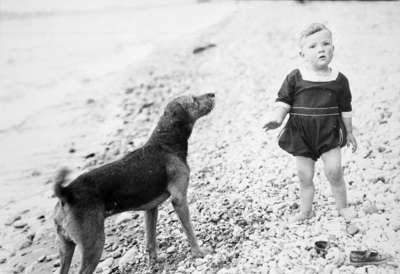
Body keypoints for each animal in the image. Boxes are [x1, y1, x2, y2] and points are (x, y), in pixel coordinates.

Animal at [54, 93, 216, 272]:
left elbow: (151, 240)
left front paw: (154, 263)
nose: (213, 94)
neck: (166, 142)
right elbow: (189, 231)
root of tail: (67, 193)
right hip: (94, 244)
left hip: (66, 247)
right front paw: (199, 252)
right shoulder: (179, 199)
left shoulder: (151, 209)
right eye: (194, 100)